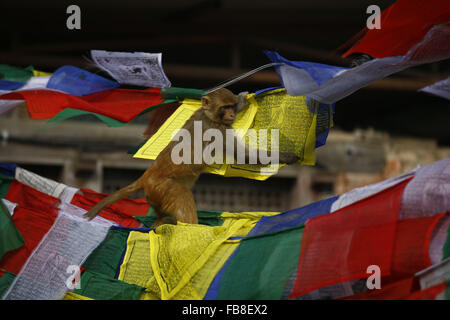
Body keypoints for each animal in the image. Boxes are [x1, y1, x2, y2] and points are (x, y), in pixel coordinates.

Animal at [85, 87, 298, 228]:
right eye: (225, 107)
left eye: (230, 106)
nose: (231, 113)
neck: (208, 115)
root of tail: (147, 176)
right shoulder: (219, 130)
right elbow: (244, 154)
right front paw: (286, 156)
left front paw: (242, 101)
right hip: (163, 188)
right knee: (182, 196)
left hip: (154, 196)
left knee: (163, 216)